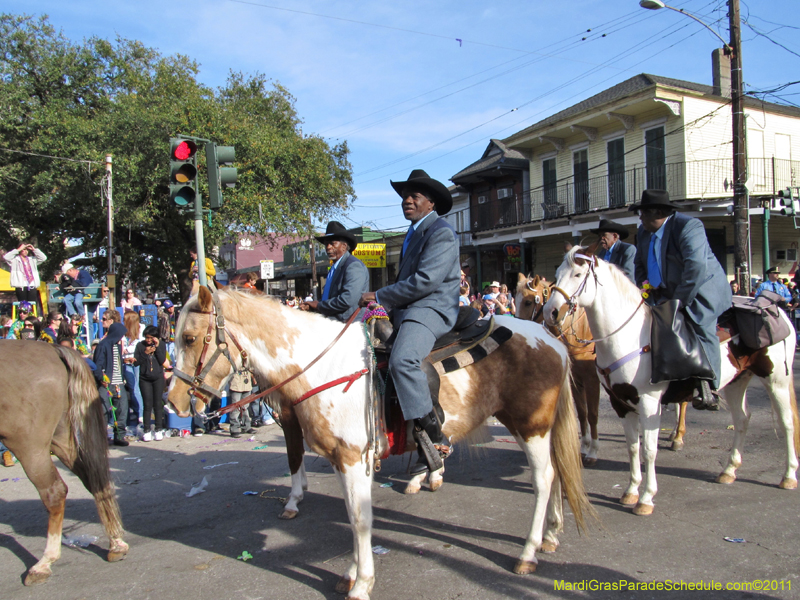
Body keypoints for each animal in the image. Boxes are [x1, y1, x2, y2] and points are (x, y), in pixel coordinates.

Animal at [0, 342, 127, 584]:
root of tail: (53, 349)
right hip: (58, 436)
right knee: (93, 478)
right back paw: (116, 544)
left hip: (30, 443)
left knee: (55, 491)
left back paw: (44, 563)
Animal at [169, 286, 592, 600]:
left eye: (189, 338)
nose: (174, 403)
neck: (324, 368)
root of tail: (548, 338)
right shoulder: (343, 460)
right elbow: (352, 514)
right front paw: (352, 572)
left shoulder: (352, 459)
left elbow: (360, 519)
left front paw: (362, 583)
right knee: (556, 474)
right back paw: (550, 536)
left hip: (531, 425)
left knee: (543, 479)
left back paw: (529, 551)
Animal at [520, 274, 600, 466]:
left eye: (528, 302)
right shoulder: (576, 380)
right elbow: (582, 413)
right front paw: (584, 447)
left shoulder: (592, 380)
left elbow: (593, 414)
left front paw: (593, 451)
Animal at [544, 244, 800, 516]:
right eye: (557, 274)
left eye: (578, 275)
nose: (551, 312)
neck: (629, 336)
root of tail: (779, 311)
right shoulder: (621, 403)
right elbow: (632, 447)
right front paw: (630, 491)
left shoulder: (649, 402)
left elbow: (649, 450)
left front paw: (646, 498)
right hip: (737, 381)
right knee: (742, 420)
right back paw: (729, 471)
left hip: (776, 380)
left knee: (787, 422)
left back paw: (788, 476)